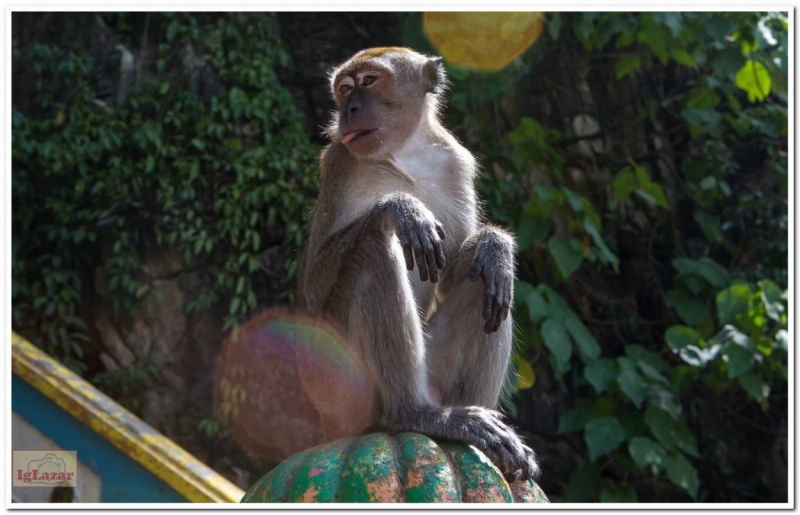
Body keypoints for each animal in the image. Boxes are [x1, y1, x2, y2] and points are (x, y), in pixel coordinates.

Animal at [296, 46, 536, 482]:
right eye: (344, 89)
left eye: (369, 81)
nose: (349, 108)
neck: (403, 155)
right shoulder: (339, 163)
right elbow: (315, 282)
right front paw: (402, 208)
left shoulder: (456, 163)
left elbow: (455, 274)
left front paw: (496, 246)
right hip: (338, 385)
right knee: (373, 251)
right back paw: (414, 415)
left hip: (433, 371)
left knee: (488, 285)